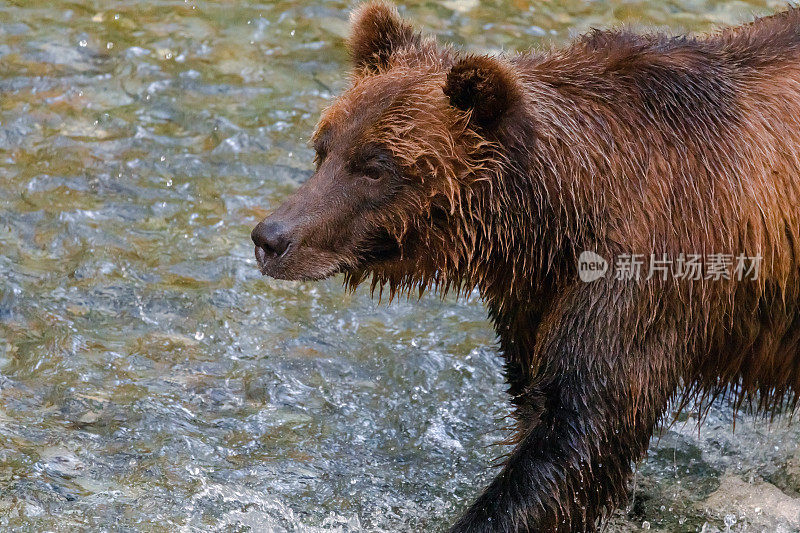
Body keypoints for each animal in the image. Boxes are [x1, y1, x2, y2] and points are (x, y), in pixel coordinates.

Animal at [250, 2, 800, 528]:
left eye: (375, 166)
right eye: (324, 149)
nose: (270, 238)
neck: (558, 212)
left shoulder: (645, 267)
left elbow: (580, 423)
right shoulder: (535, 293)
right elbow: (540, 404)